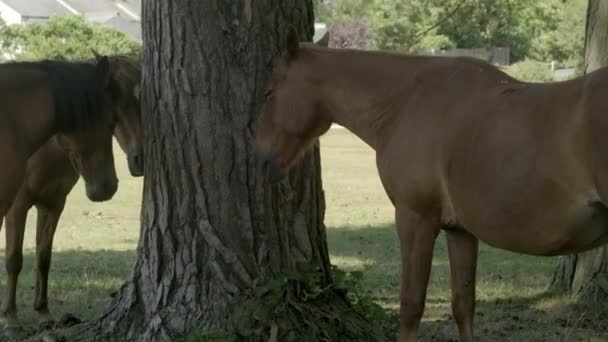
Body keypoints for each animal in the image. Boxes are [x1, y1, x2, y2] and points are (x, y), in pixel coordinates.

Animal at [0, 54, 143, 336]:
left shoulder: (53, 205)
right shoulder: (17, 207)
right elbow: (14, 259)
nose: (139, 160)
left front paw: (43, 313)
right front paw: (11, 319)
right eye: (115, 113)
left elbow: (44, 257)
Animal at [256, 27, 608, 342]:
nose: (261, 159)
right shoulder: (460, 231)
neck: (406, 101)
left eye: (269, 92)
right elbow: (463, 305)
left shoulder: (415, 219)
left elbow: (411, 306)